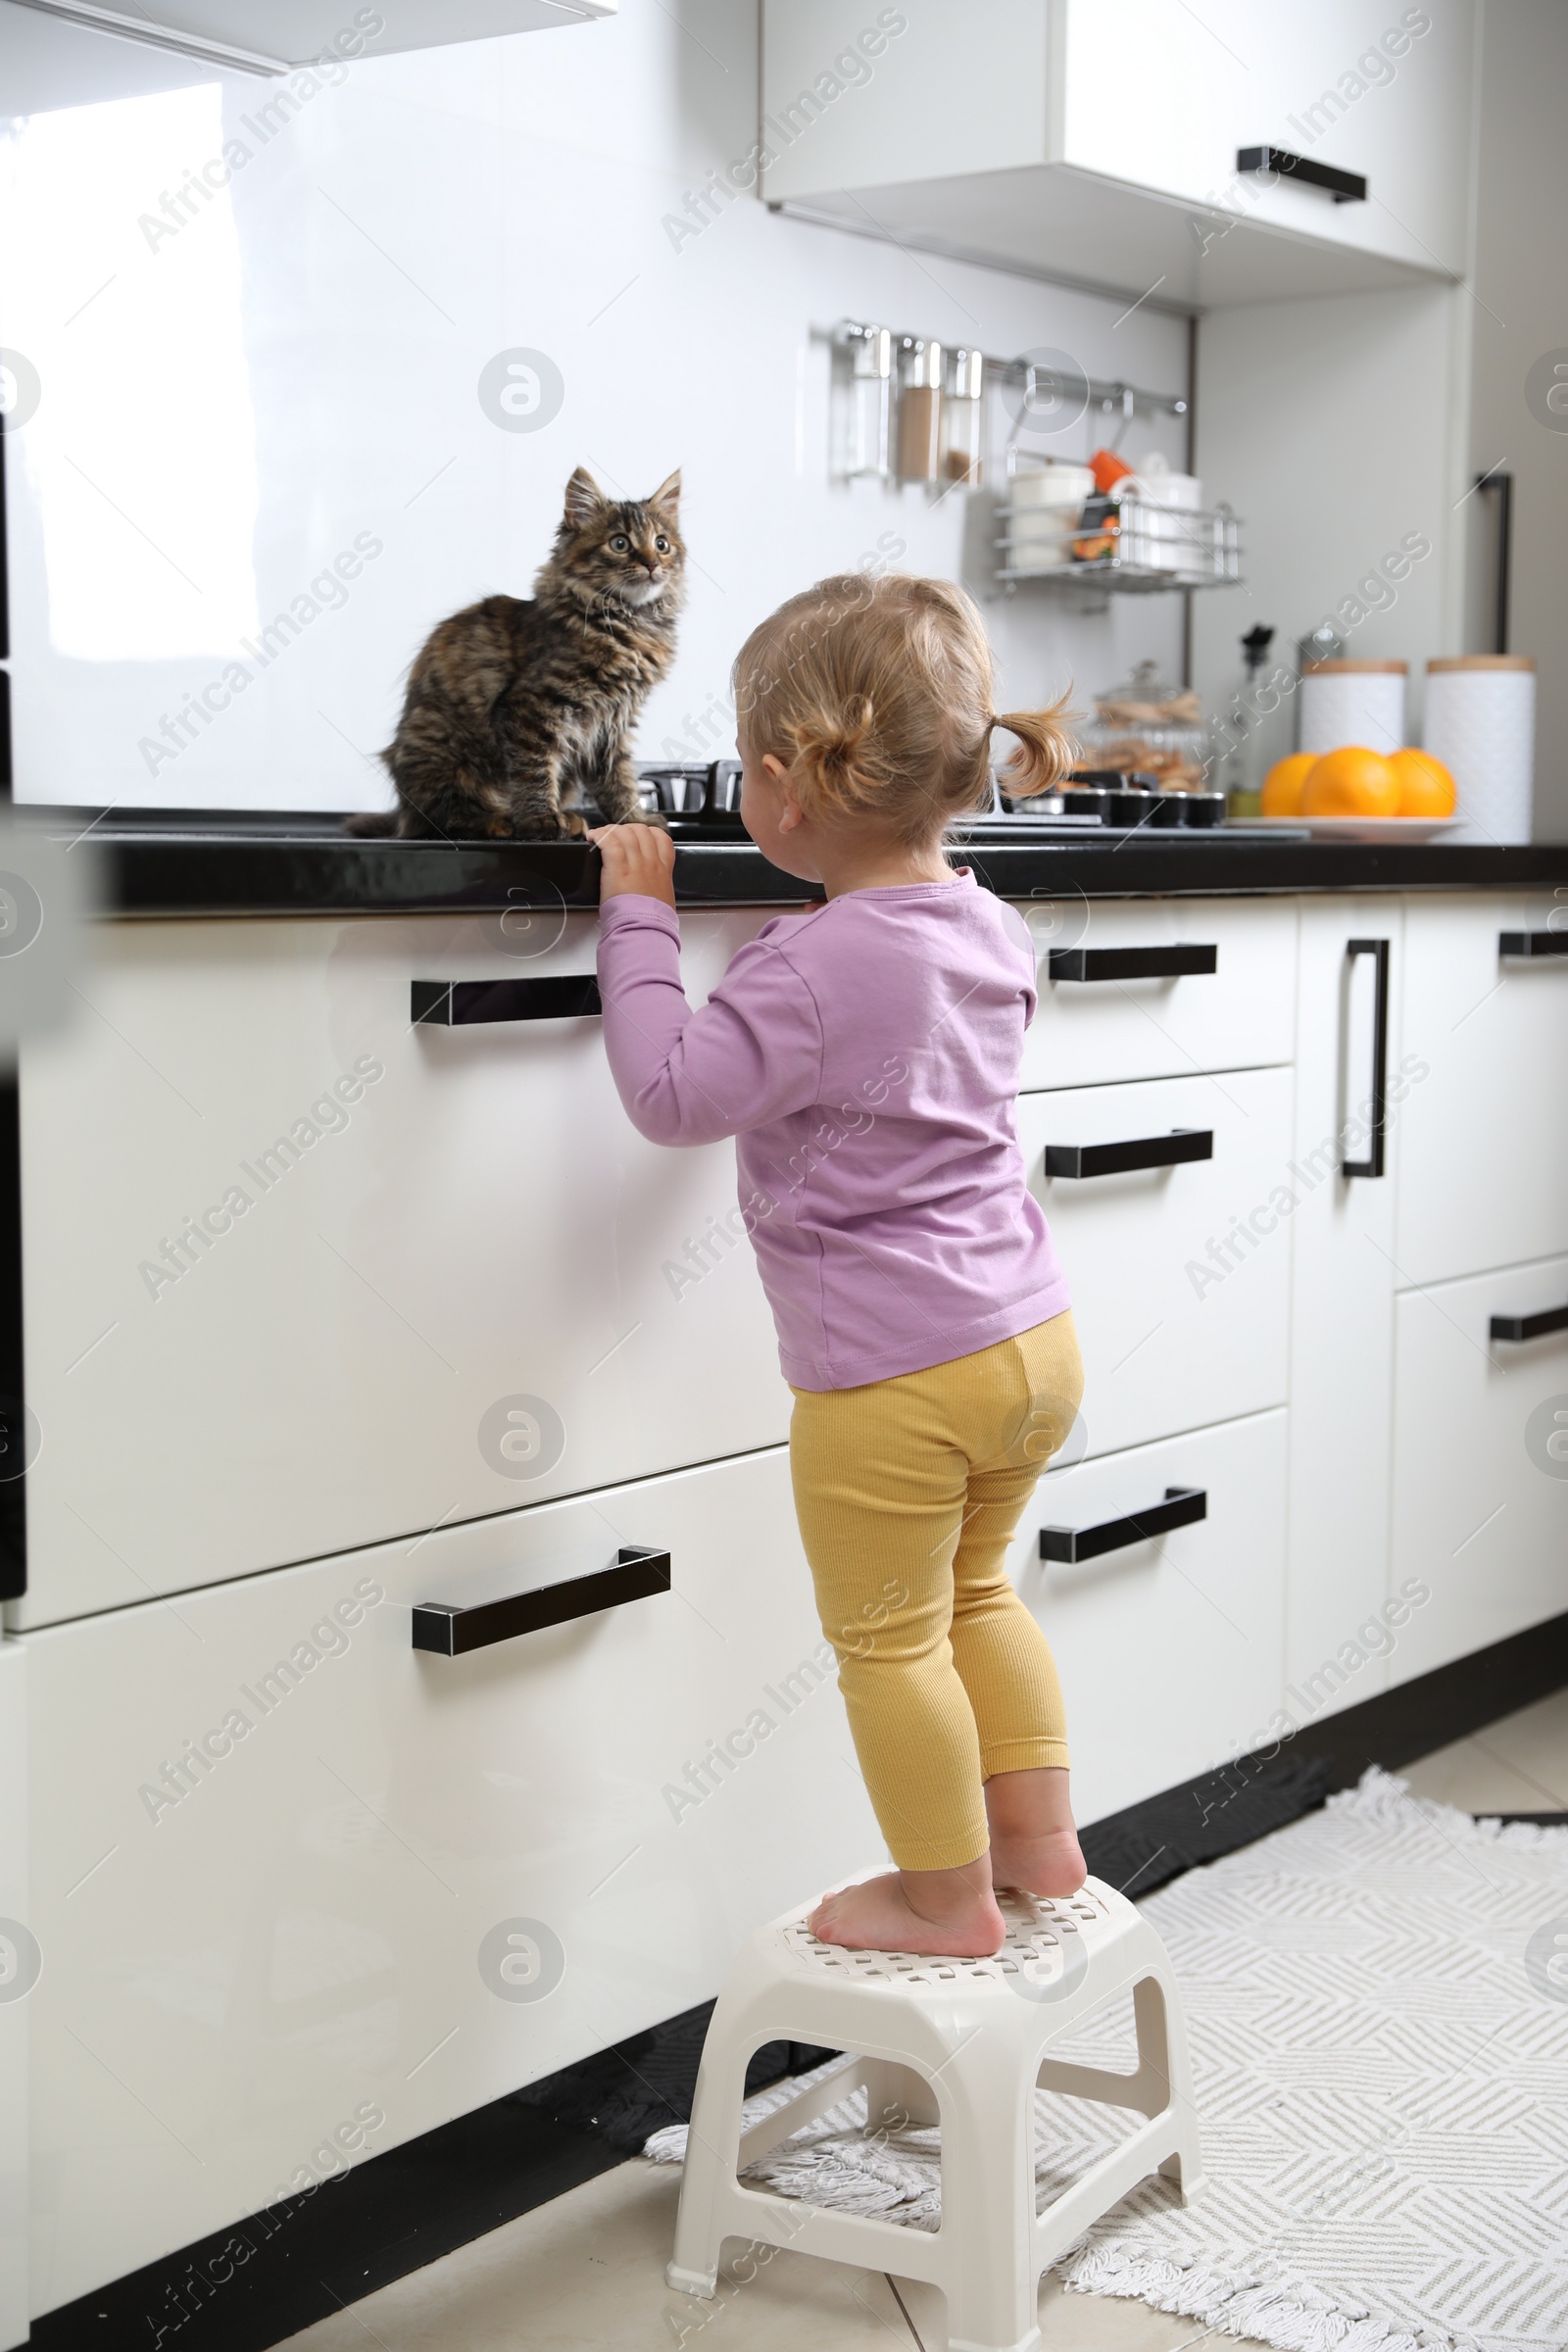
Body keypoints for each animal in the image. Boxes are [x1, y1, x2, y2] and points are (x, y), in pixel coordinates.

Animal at [355, 470, 686, 847]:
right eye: (619, 544)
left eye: (662, 544)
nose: (652, 563)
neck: (631, 622)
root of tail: (402, 815)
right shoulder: (531, 705)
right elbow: (534, 770)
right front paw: (541, 820)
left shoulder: (613, 721)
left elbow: (618, 777)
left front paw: (635, 820)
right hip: (442, 752)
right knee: (445, 818)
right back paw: (501, 820)